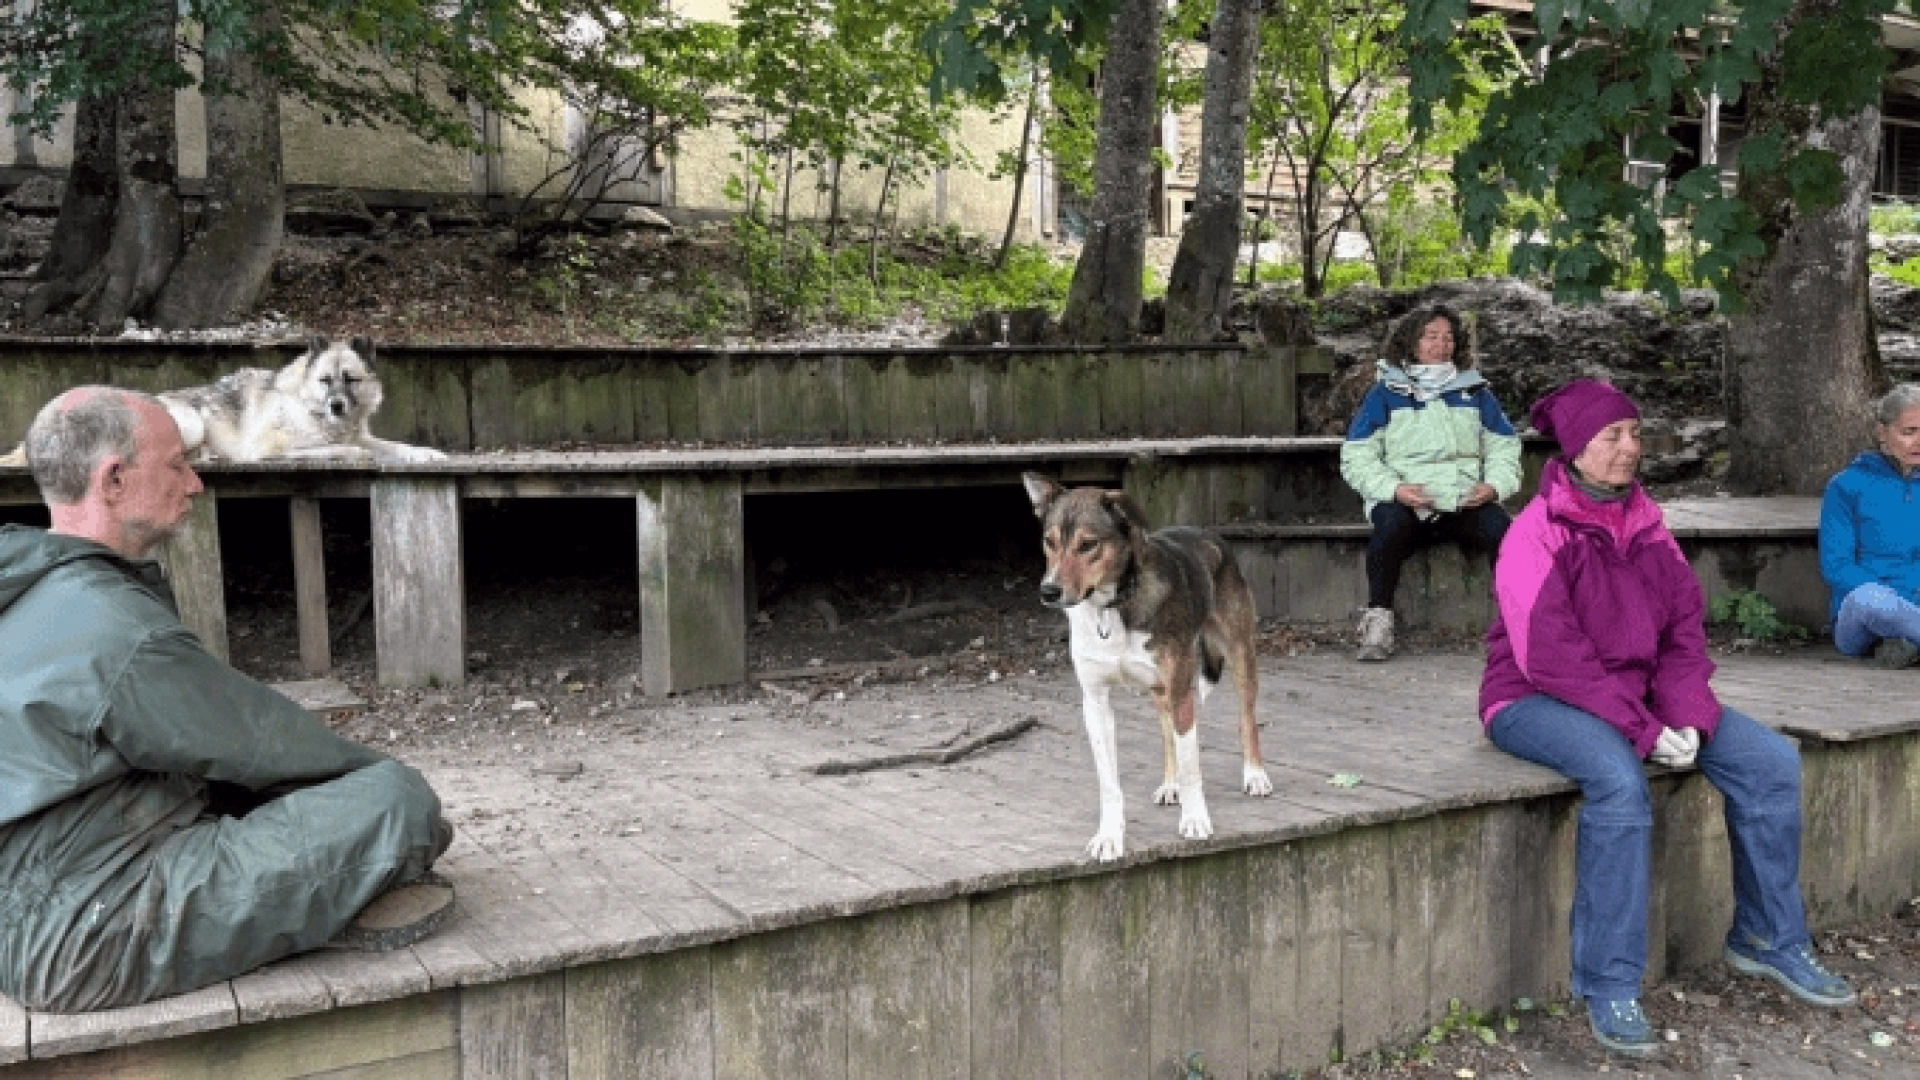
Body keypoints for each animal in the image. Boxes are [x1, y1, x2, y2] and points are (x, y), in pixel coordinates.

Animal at [1023, 472, 1273, 862]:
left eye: (1088, 544)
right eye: (1049, 542)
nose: (1048, 591)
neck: (1112, 606)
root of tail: (1211, 535)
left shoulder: (1183, 688)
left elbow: (1192, 765)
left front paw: (1195, 819)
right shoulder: (1096, 704)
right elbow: (1110, 784)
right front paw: (1109, 836)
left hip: (1239, 654)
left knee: (1246, 719)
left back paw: (1255, 775)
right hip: (1160, 689)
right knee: (1167, 732)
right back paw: (1170, 785)